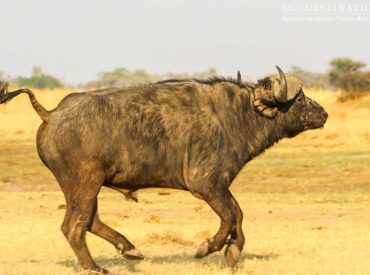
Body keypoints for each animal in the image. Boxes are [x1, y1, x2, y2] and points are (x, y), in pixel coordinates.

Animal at [0, 67, 330, 274]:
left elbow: (237, 216)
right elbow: (231, 215)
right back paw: (95, 267)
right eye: (301, 98)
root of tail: (51, 113)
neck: (238, 115)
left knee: (88, 220)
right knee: (74, 226)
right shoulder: (207, 185)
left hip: (81, 186)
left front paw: (232, 250)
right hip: (84, 183)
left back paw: (130, 248)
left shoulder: (219, 186)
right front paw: (209, 247)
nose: (324, 113)